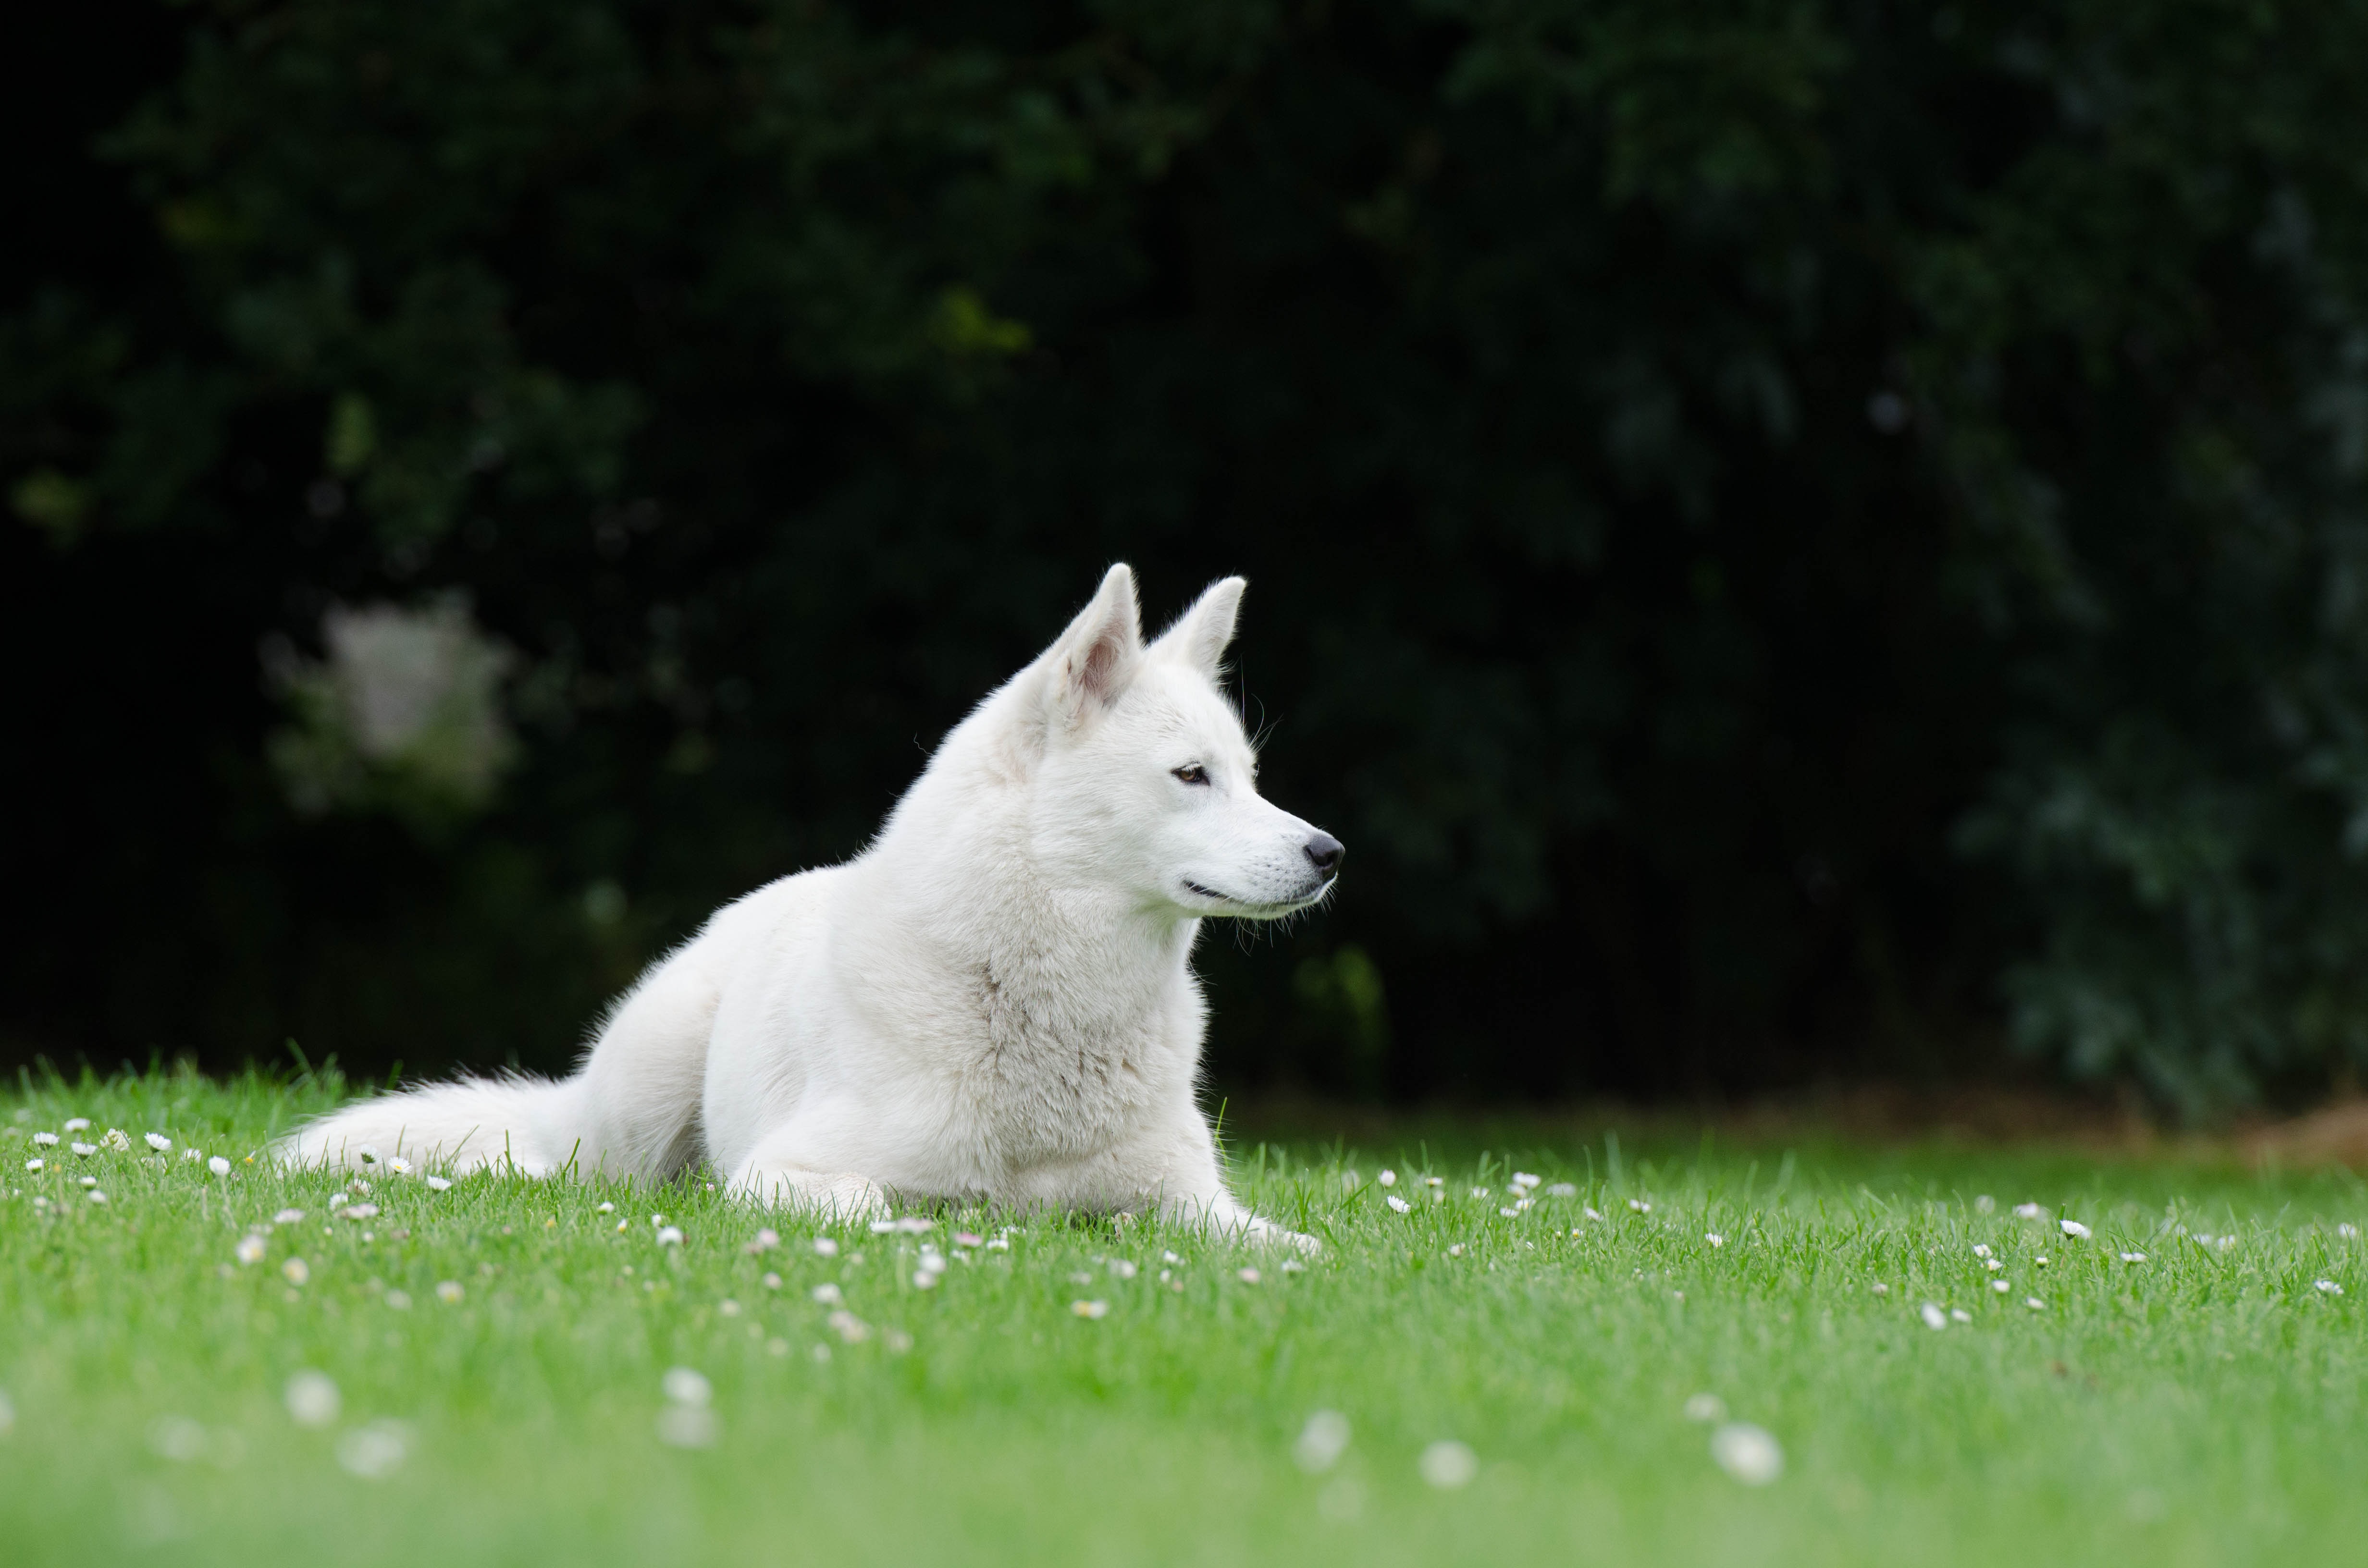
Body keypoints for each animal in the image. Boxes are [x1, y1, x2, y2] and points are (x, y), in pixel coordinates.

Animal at [286, 571, 1345, 1250]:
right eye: (1190, 776)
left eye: (1249, 776)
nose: (1330, 855)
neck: (1038, 1002)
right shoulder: (784, 1173)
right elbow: (880, 1205)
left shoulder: (1194, 1202)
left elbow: (1293, 1249)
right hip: (639, 1106)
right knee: (571, 1165)